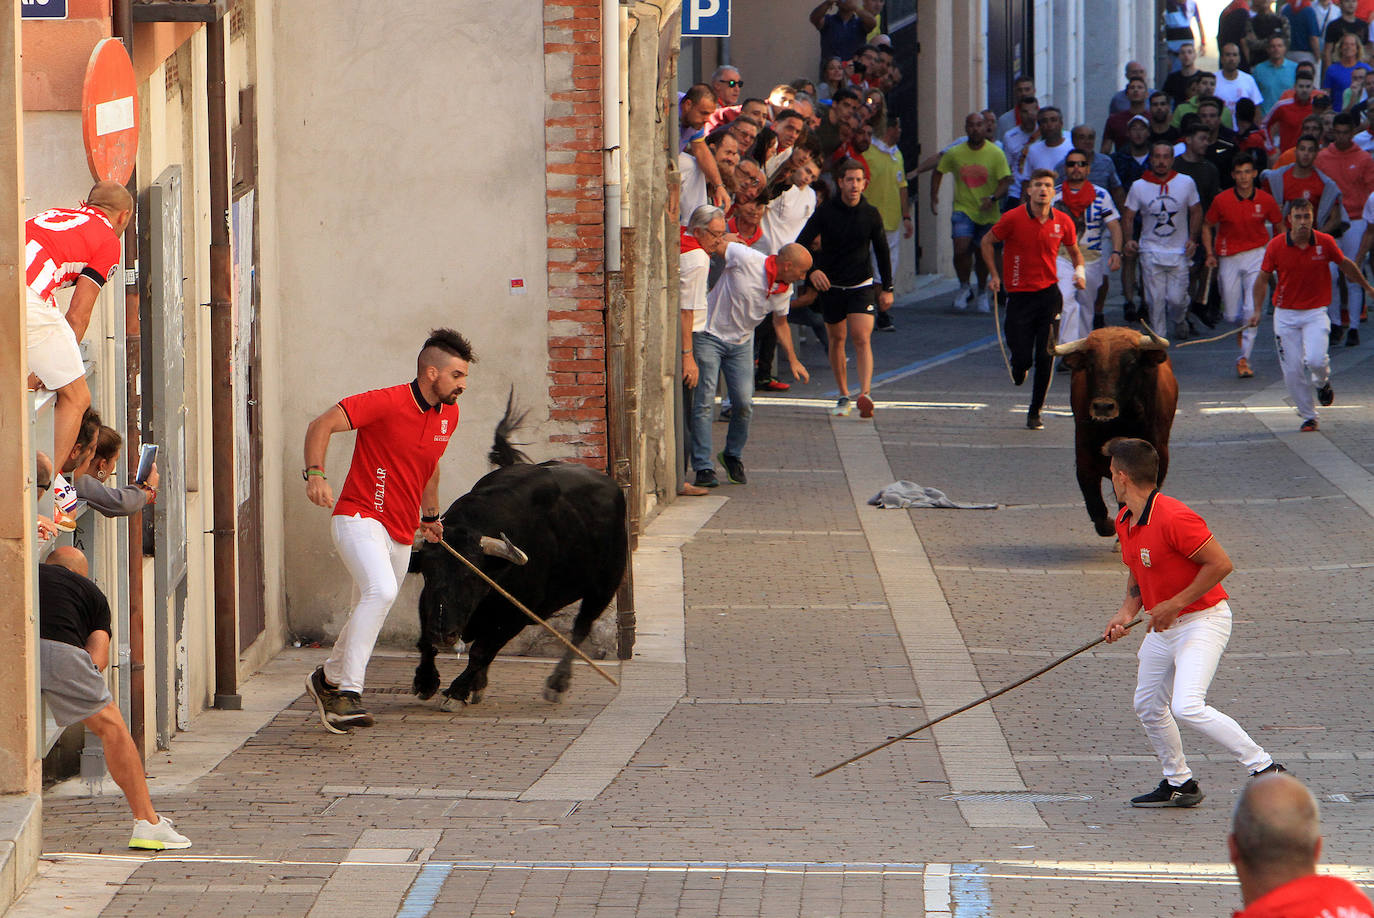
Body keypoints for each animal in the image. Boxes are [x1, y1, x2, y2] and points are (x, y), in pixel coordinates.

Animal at [403, 420, 626, 709]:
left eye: (473, 577)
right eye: (428, 574)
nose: (444, 633)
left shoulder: (515, 616)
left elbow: (481, 652)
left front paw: (457, 692)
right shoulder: (429, 601)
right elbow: (425, 641)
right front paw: (426, 682)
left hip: (604, 588)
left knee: (580, 628)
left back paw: (557, 684)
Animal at [1049, 325, 1181, 533]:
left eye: (1131, 363)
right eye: (1090, 364)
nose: (1103, 406)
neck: (1117, 426)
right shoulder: (1084, 458)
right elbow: (1094, 503)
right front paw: (1110, 525)